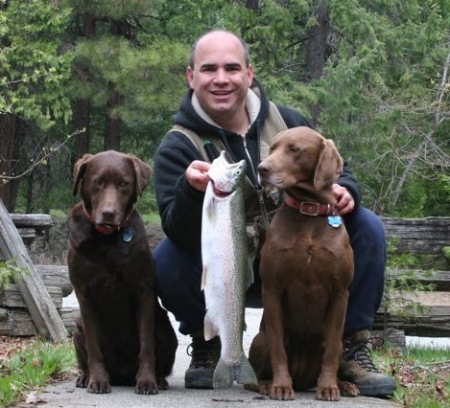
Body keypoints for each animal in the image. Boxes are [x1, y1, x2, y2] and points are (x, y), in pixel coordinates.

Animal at [68, 151, 178, 396]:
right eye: (98, 182)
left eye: (124, 184)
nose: (108, 213)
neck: (107, 240)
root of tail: (122, 375)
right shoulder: (85, 294)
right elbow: (94, 347)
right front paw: (98, 381)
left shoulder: (143, 291)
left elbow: (147, 345)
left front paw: (147, 381)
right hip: (77, 326)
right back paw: (84, 377)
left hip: (166, 329)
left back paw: (159, 379)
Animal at [248, 126, 360, 400]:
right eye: (272, 148)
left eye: (294, 149)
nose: (262, 168)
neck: (309, 212)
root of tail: (301, 380)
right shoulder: (272, 288)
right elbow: (278, 346)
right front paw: (280, 385)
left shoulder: (341, 292)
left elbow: (331, 349)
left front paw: (329, 387)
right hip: (260, 340)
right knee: (260, 369)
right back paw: (267, 384)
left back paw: (343, 384)